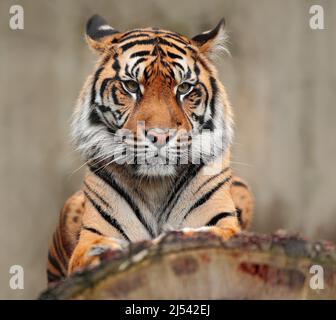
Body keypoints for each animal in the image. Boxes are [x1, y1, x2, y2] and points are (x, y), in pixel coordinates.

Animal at [46, 15, 252, 284]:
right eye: (132, 86)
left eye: (183, 88)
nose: (160, 136)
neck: (155, 185)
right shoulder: (92, 236)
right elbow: (93, 253)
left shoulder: (223, 224)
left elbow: (211, 234)